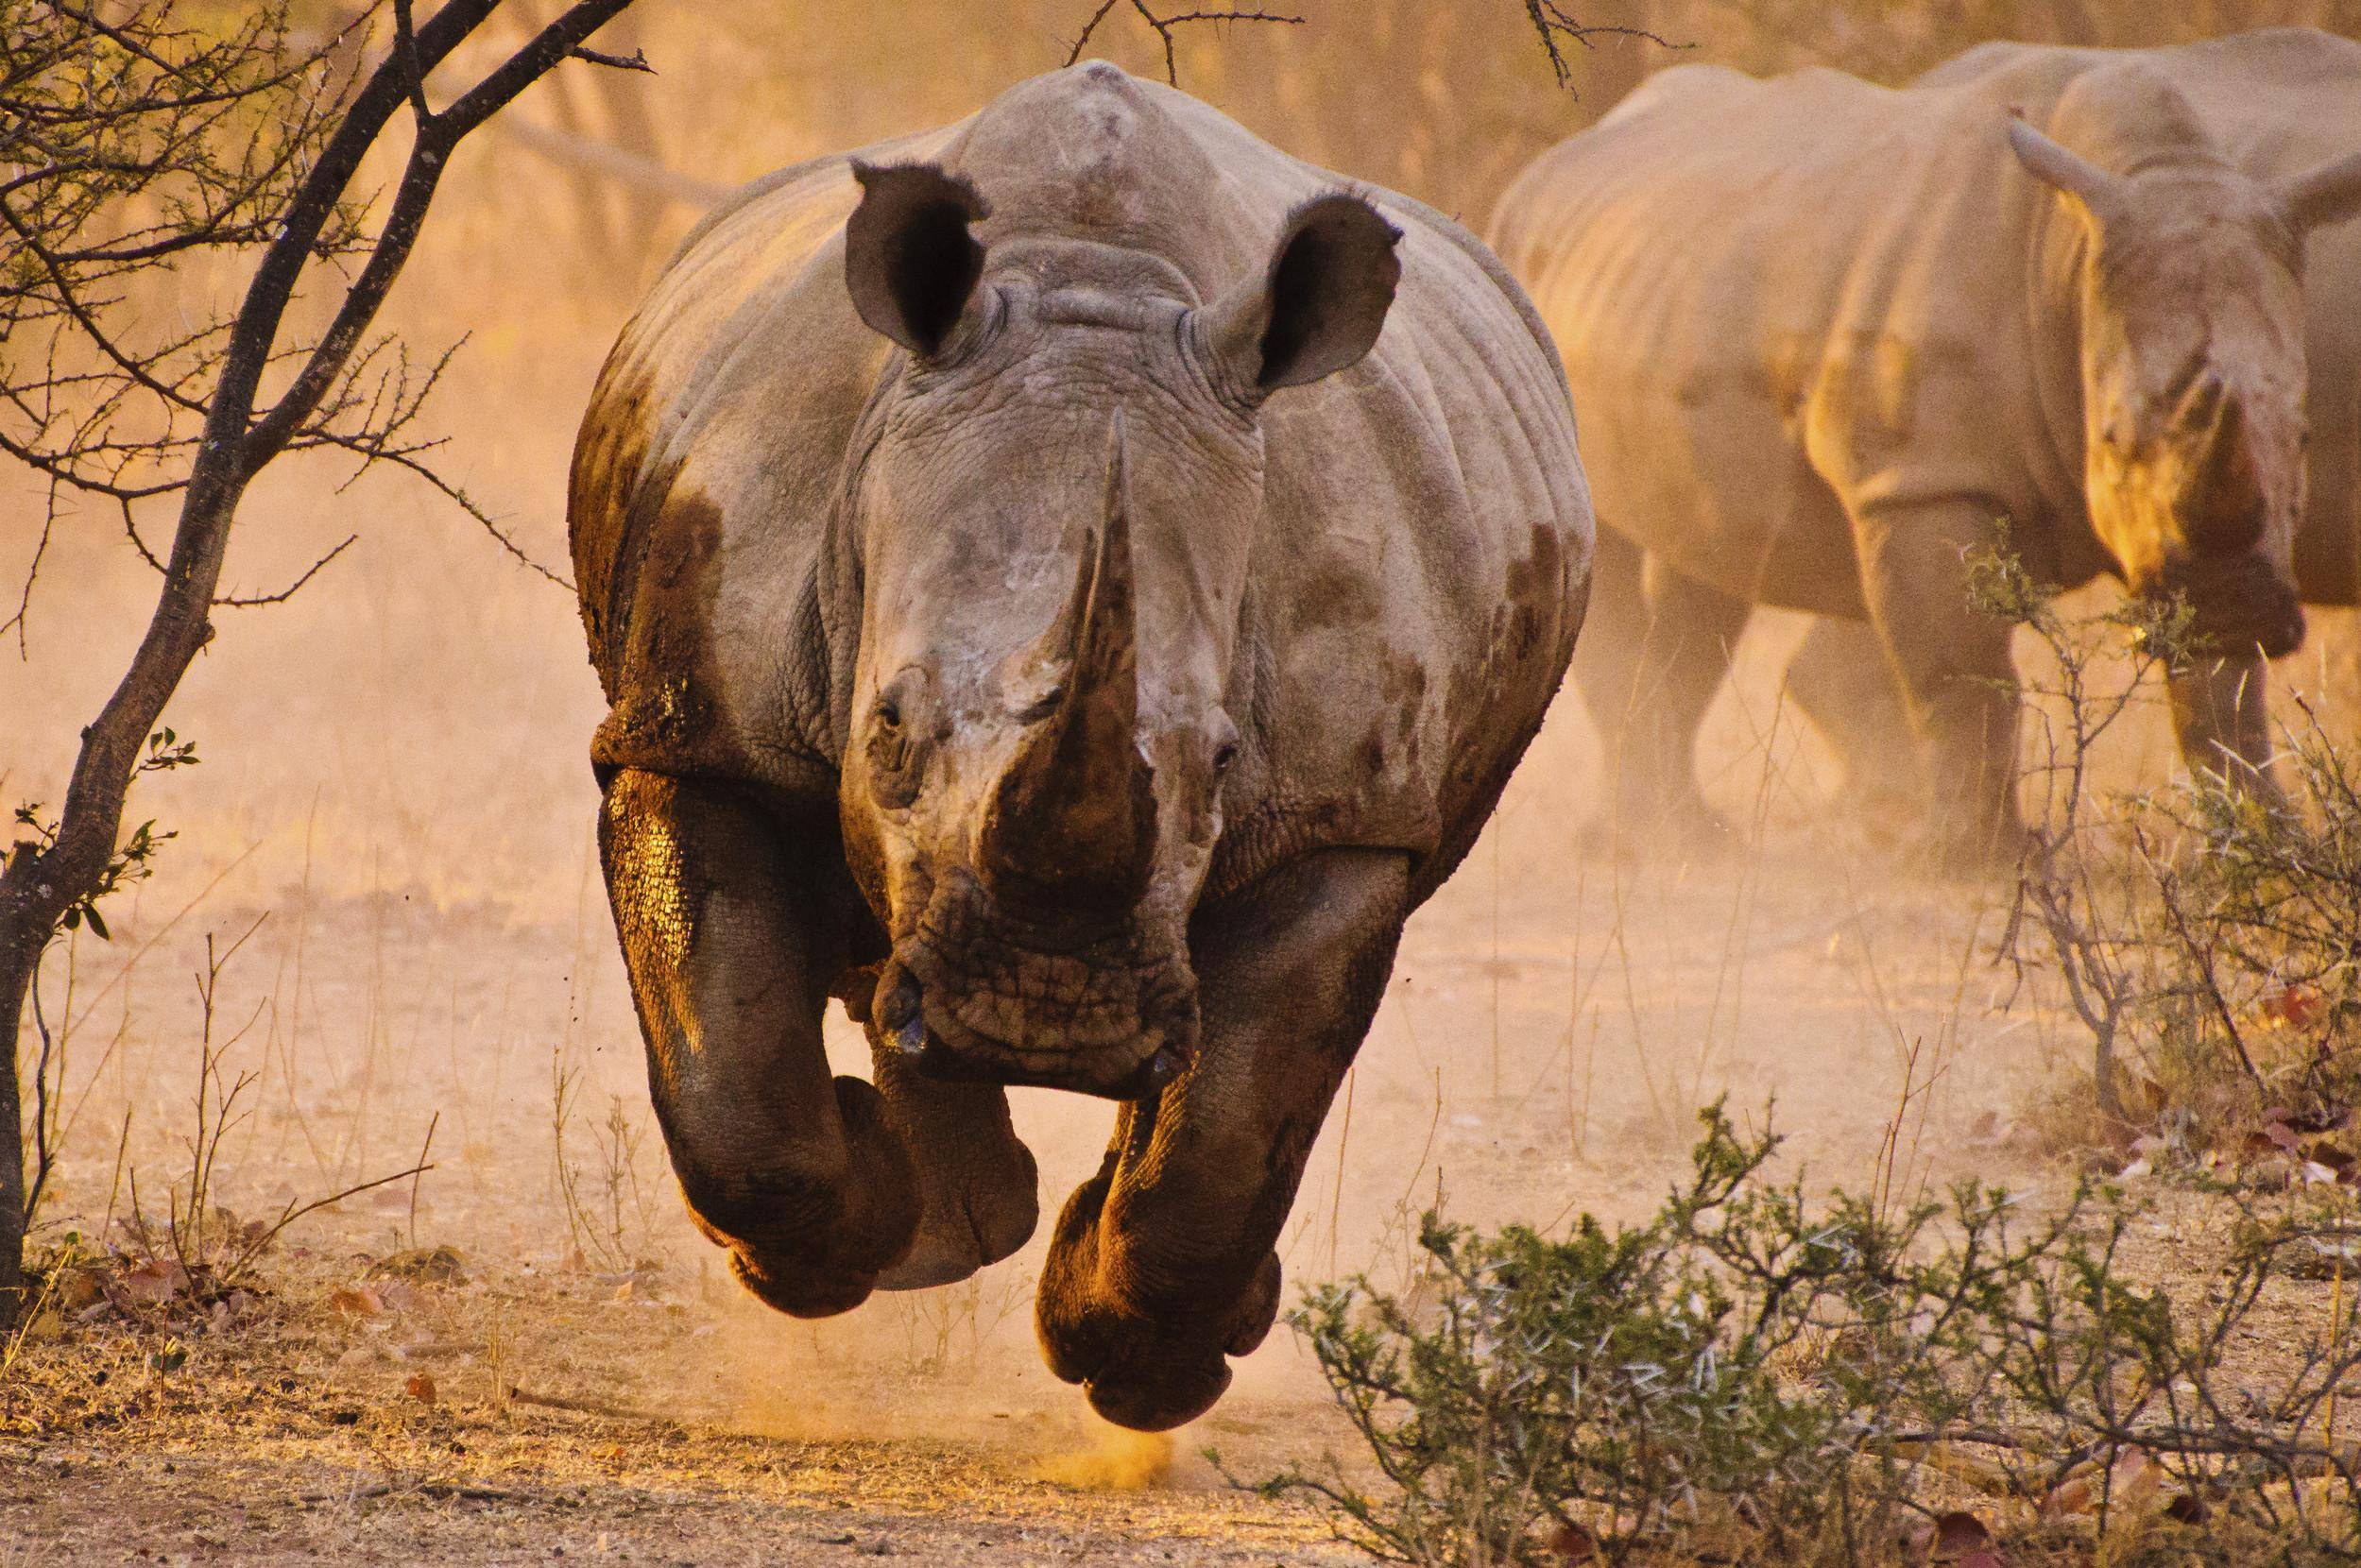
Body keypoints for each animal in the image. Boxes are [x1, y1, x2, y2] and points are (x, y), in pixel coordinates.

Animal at [568, 62, 1591, 1431]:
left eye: (1223, 762)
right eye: (885, 730)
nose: (1044, 1014)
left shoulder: (1344, 818)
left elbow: (1225, 1139)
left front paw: (1139, 1365)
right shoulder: (695, 725)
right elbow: (735, 1096)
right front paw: (836, 1244)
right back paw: (948, 1225)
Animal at [1487, 30, 2361, 857]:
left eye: (2302, 437)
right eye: (2111, 436)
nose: (2236, 605)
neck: (2069, 261)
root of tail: (1543, 168)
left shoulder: (2201, 542)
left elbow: (2221, 695)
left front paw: (2268, 851)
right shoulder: (1923, 478)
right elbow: (1961, 674)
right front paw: (1977, 863)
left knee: (1702, 565)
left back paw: (1683, 839)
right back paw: (1650, 847)